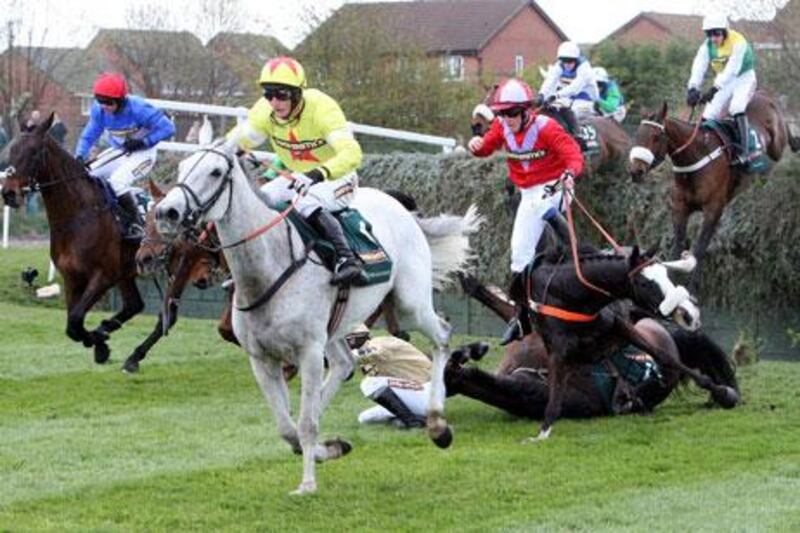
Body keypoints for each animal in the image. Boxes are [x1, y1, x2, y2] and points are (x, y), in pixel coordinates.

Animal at [1, 112, 144, 362]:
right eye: (13, 148)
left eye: (34, 152)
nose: (8, 193)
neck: (78, 215)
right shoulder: (71, 277)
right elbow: (72, 326)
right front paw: (100, 341)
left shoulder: (103, 276)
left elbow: (76, 320)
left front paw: (99, 340)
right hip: (127, 271)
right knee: (134, 305)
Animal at [156, 138, 482, 494]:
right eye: (182, 167)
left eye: (215, 172)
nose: (166, 212)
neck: (266, 270)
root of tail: (402, 207)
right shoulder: (261, 358)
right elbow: (288, 426)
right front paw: (328, 449)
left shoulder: (308, 351)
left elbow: (305, 424)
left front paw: (308, 483)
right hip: (338, 326)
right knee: (343, 364)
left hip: (411, 303)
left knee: (442, 337)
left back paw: (438, 425)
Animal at [632, 92, 792, 290]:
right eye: (637, 135)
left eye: (655, 136)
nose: (635, 171)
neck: (696, 156)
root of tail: (765, 97)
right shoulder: (680, 208)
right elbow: (677, 247)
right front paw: (671, 282)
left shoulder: (713, 209)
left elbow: (700, 249)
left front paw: (691, 288)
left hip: (777, 147)